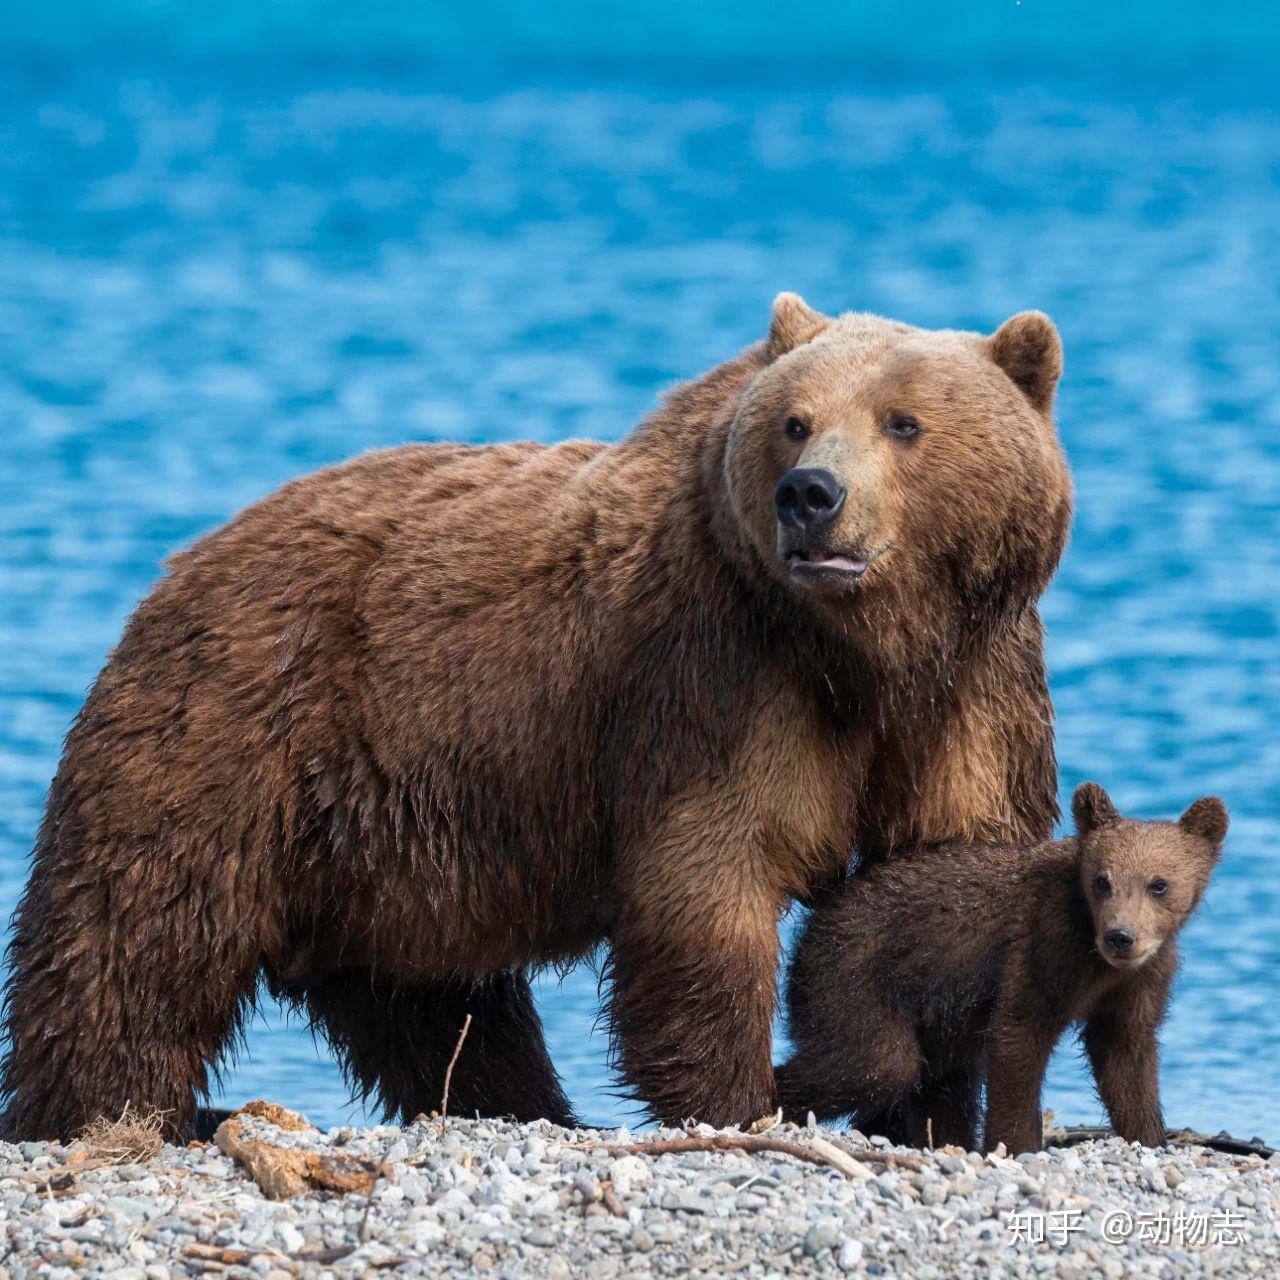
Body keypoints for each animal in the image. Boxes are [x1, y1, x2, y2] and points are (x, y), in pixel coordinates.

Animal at [0, 296, 1070, 1141]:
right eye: (796, 421)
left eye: (904, 422)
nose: (810, 496)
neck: (865, 650)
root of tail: (181, 566)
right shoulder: (714, 680)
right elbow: (711, 880)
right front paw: (737, 1098)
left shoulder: (975, 687)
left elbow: (941, 877)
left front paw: (931, 1107)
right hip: (231, 737)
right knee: (135, 946)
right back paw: (102, 1110)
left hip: (387, 843)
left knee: (431, 1002)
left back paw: (524, 1107)